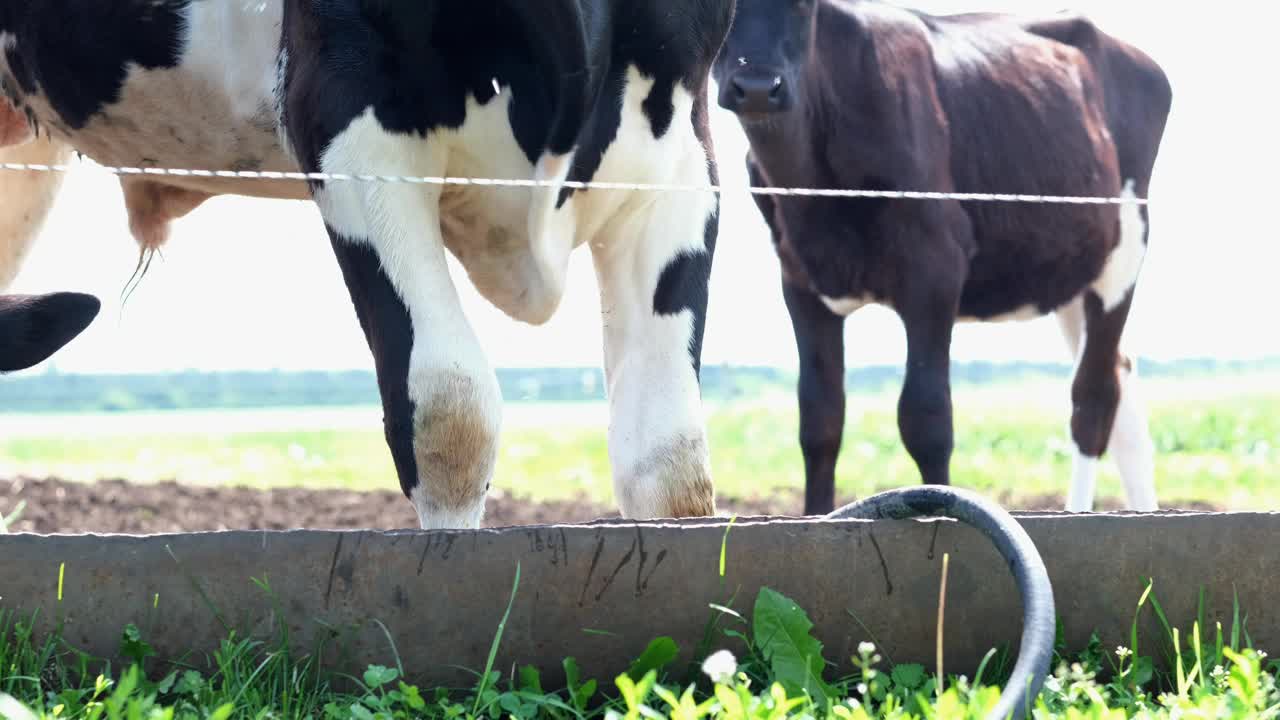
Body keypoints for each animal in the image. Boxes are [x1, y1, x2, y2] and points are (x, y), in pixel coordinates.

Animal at [716, 1, 1172, 515]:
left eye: (803, 5)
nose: (757, 87)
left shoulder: (934, 270)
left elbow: (927, 418)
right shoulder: (801, 280)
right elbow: (820, 419)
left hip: (1123, 254)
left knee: (1093, 401)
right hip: (1073, 275)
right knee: (1123, 393)